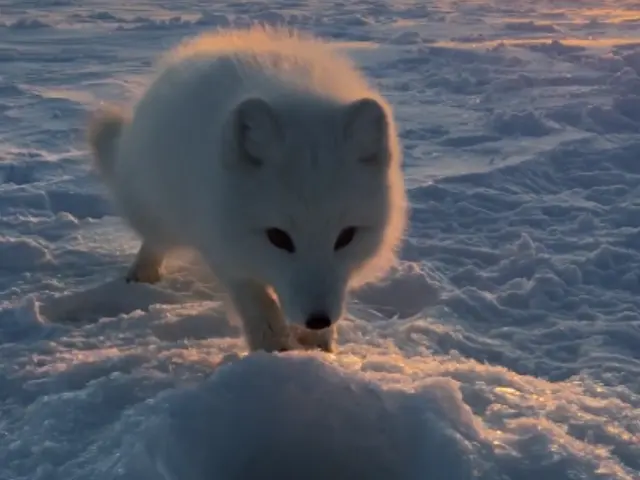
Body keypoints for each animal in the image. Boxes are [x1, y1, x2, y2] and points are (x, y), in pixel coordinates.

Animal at [87, 26, 408, 353]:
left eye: (346, 237)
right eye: (278, 237)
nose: (318, 319)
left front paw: (317, 347)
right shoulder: (221, 242)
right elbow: (255, 299)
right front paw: (273, 350)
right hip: (157, 210)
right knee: (154, 238)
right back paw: (143, 272)